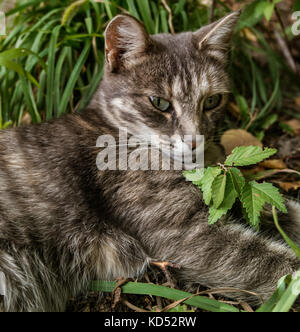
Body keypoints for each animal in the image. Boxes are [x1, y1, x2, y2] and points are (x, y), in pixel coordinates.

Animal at [0, 11, 300, 312]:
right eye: (160, 102)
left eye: (212, 101)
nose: (195, 141)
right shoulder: (188, 234)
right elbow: (276, 264)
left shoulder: (229, 195)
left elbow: (285, 210)